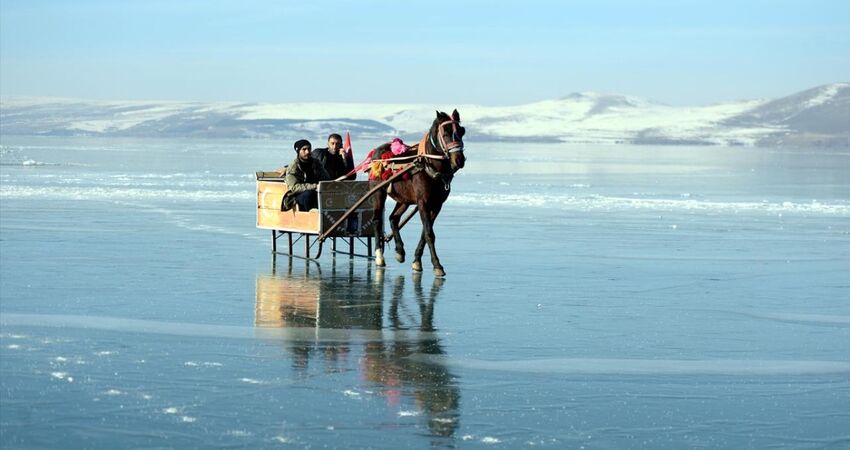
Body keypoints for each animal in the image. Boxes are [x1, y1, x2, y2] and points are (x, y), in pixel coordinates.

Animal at [372, 110, 464, 276]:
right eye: (446, 133)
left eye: (462, 131)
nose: (459, 160)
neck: (430, 165)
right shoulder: (423, 202)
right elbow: (429, 234)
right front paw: (437, 265)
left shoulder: (437, 204)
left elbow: (425, 232)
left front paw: (416, 261)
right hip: (378, 192)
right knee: (377, 220)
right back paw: (379, 257)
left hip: (404, 199)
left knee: (393, 218)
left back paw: (400, 251)